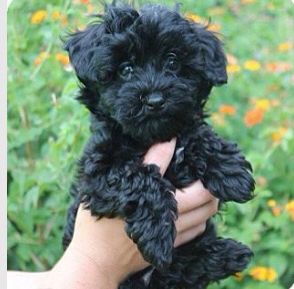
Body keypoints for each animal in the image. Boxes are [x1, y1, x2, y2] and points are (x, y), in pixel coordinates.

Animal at [62, 2, 255, 288]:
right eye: (126, 69)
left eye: (173, 63)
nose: (154, 100)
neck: (150, 138)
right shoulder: (97, 174)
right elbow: (138, 178)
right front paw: (157, 236)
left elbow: (196, 133)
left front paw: (230, 171)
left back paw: (230, 254)